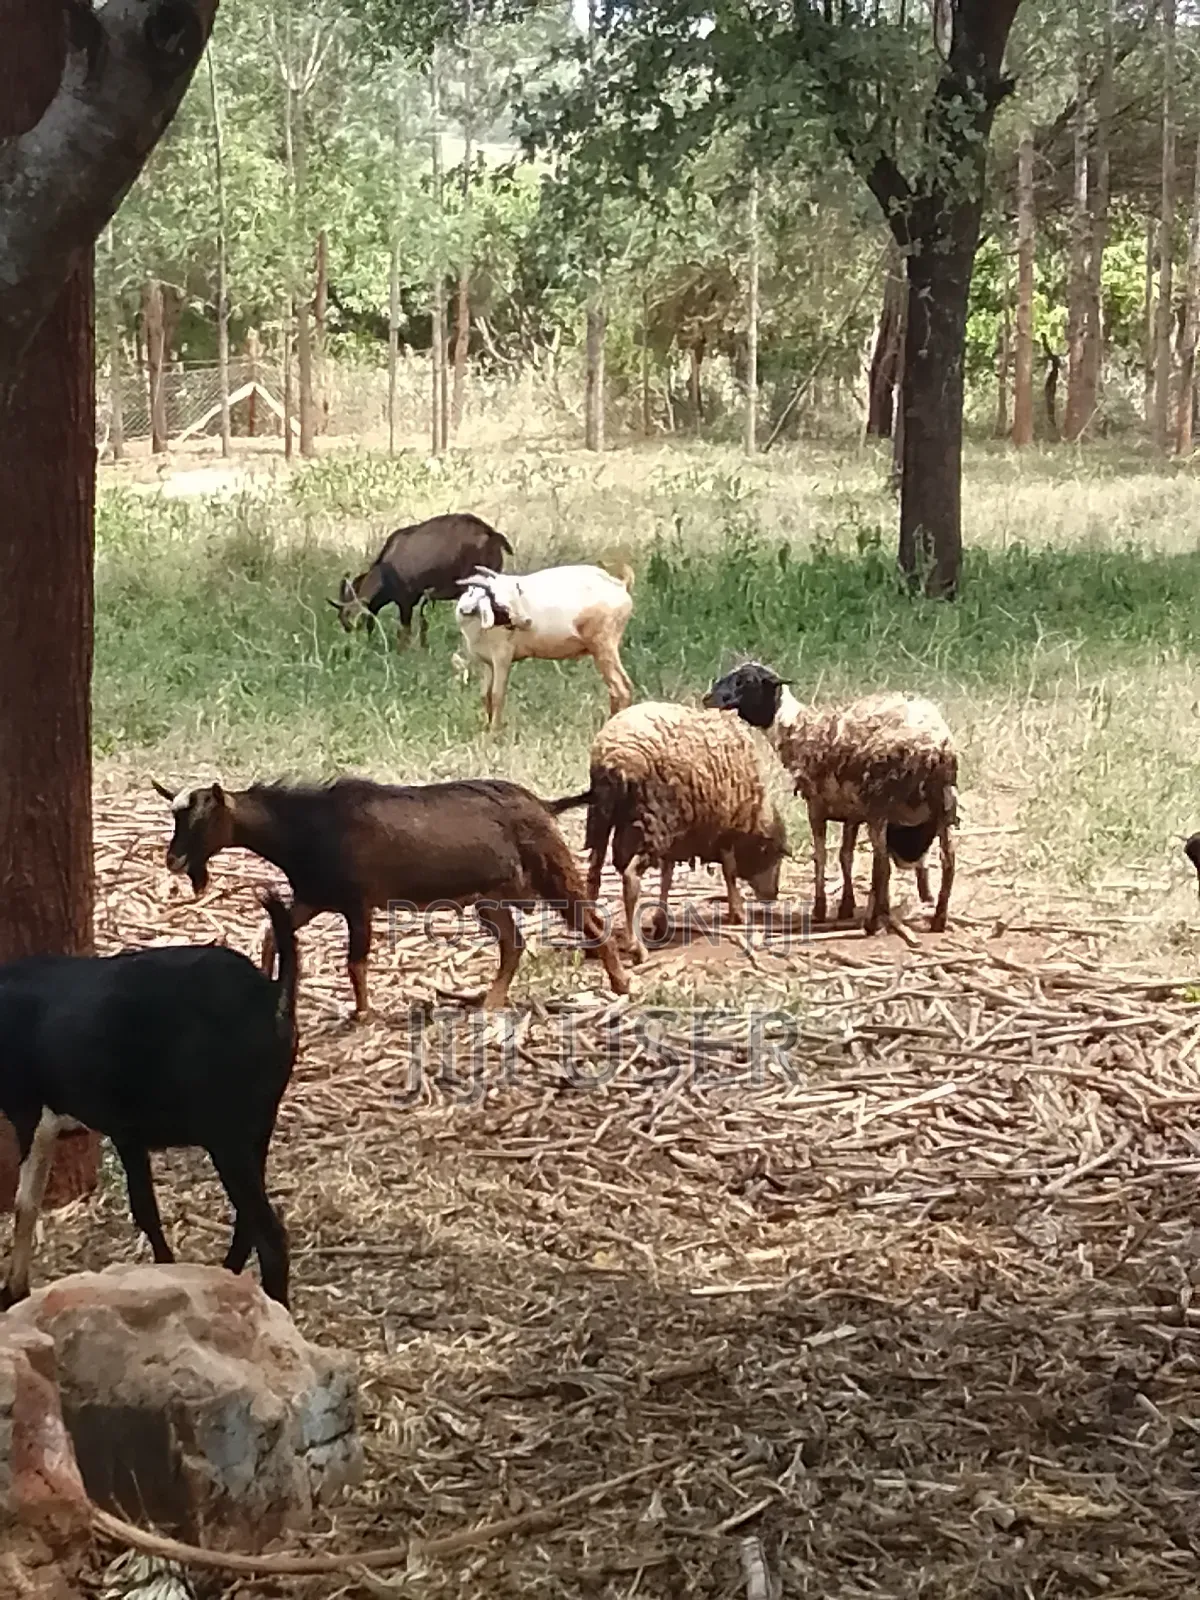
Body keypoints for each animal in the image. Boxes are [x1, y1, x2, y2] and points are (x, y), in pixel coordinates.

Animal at [0, 892, 299, 1310]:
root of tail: (271, 995)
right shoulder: (122, 1132)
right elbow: (143, 1208)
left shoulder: (33, 1114)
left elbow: (27, 1202)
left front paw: (14, 1290)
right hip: (257, 1129)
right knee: (247, 1224)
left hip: (228, 1136)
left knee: (270, 1237)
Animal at [155, 775, 630, 1018]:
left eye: (202, 821)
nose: (173, 859)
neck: (307, 826)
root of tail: (544, 805)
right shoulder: (314, 897)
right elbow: (275, 933)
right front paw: (271, 981)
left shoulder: (358, 903)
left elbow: (356, 961)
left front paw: (362, 1014)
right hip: (490, 899)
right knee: (513, 945)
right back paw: (489, 1002)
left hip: (550, 871)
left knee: (591, 920)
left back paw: (621, 984)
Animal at [454, 562, 634, 730]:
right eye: (498, 604)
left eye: (516, 594)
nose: (527, 621)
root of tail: (619, 585)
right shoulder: (488, 662)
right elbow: (485, 695)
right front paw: (486, 728)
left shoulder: (502, 657)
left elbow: (497, 694)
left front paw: (494, 733)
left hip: (603, 646)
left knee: (621, 688)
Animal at [704, 661, 957, 936]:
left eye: (747, 681)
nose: (708, 699)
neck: (796, 728)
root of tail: (933, 748)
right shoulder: (852, 813)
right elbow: (845, 856)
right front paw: (847, 906)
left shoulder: (816, 805)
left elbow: (822, 855)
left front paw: (820, 909)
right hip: (944, 805)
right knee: (948, 862)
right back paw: (938, 919)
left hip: (880, 806)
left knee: (882, 865)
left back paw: (872, 923)